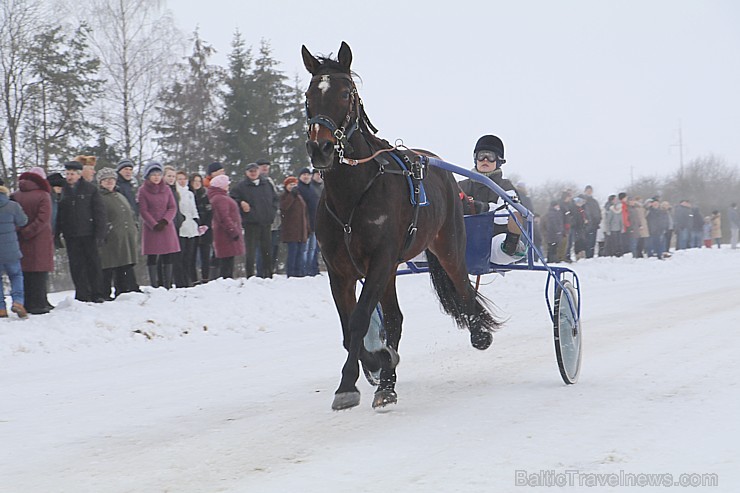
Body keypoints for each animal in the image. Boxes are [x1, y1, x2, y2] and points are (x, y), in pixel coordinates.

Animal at [304, 42, 500, 408]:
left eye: (345, 93)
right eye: (309, 95)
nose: (320, 147)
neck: (353, 194)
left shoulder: (380, 259)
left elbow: (359, 320)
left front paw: (354, 380)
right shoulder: (339, 269)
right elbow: (349, 328)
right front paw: (373, 366)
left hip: (448, 244)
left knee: (463, 287)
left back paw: (479, 333)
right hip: (392, 268)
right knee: (394, 318)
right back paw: (386, 383)